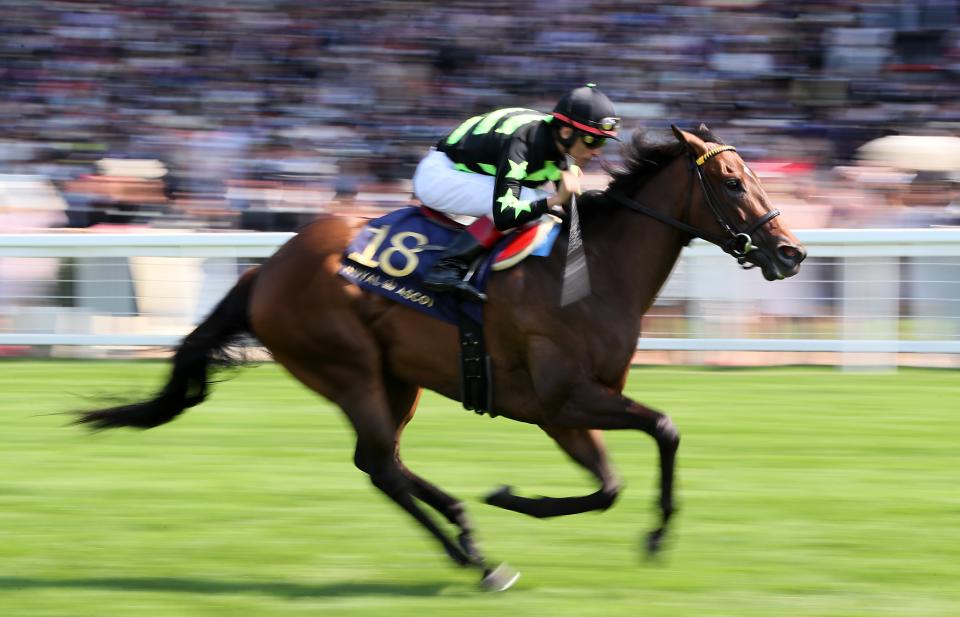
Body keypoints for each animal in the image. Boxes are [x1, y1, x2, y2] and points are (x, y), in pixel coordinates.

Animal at [79, 124, 808, 588]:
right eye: (731, 181)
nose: (791, 251)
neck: (590, 270)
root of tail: (266, 269)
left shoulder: (568, 410)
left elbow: (610, 482)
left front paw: (523, 500)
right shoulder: (563, 399)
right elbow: (660, 432)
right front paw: (535, 503)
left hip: (396, 378)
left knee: (381, 462)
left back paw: (466, 537)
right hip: (348, 367)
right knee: (382, 464)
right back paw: (479, 557)